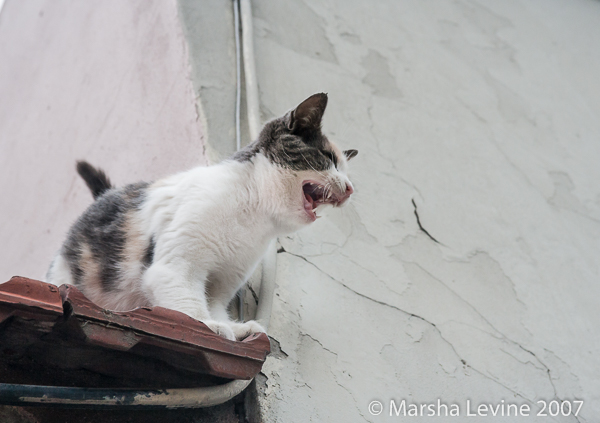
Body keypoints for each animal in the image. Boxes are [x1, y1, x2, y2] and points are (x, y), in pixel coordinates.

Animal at [48, 93, 356, 342]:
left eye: (345, 170)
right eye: (327, 158)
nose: (351, 187)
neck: (253, 218)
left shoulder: (224, 282)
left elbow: (215, 303)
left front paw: (233, 326)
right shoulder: (177, 267)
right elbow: (188, 302)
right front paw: (207, 325)